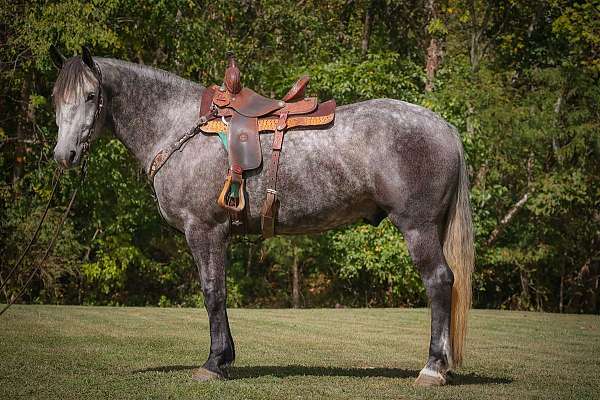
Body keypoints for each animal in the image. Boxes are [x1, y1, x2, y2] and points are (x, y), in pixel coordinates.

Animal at [51, 47, 474, 388]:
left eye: (91, 96)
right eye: (57, 99)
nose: (63, 155)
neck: (178, 128)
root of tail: (444, 128)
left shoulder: (204, 231)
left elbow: (212, 293)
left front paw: (213, 363)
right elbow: (219, 294)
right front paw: (225, 358)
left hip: (418, 228)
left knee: (439, 282)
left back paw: (432, 369)